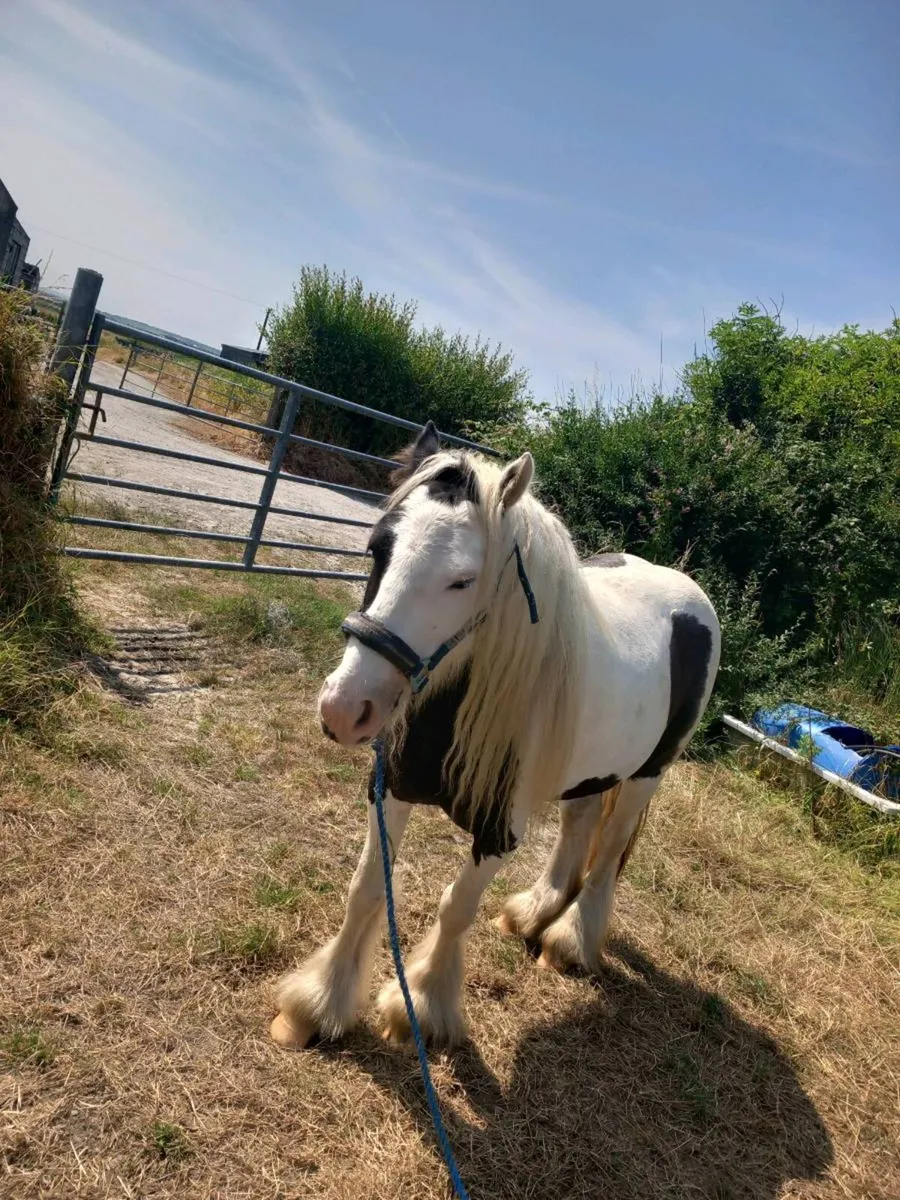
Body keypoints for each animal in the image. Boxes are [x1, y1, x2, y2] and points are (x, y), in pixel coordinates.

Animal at [270, 422, 721, 1050]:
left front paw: (422, 1009)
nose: (345, 709)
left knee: (608, 851)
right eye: (377, 548)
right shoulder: (391, 792)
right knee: (579, 828)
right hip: (590, 775)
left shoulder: (498, 833)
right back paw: (535, 912)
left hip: (646, 775)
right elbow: (367, 888)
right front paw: (319, 1003)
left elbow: (456, 906)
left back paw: (569, 941)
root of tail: (686, 592)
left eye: (464, 581)